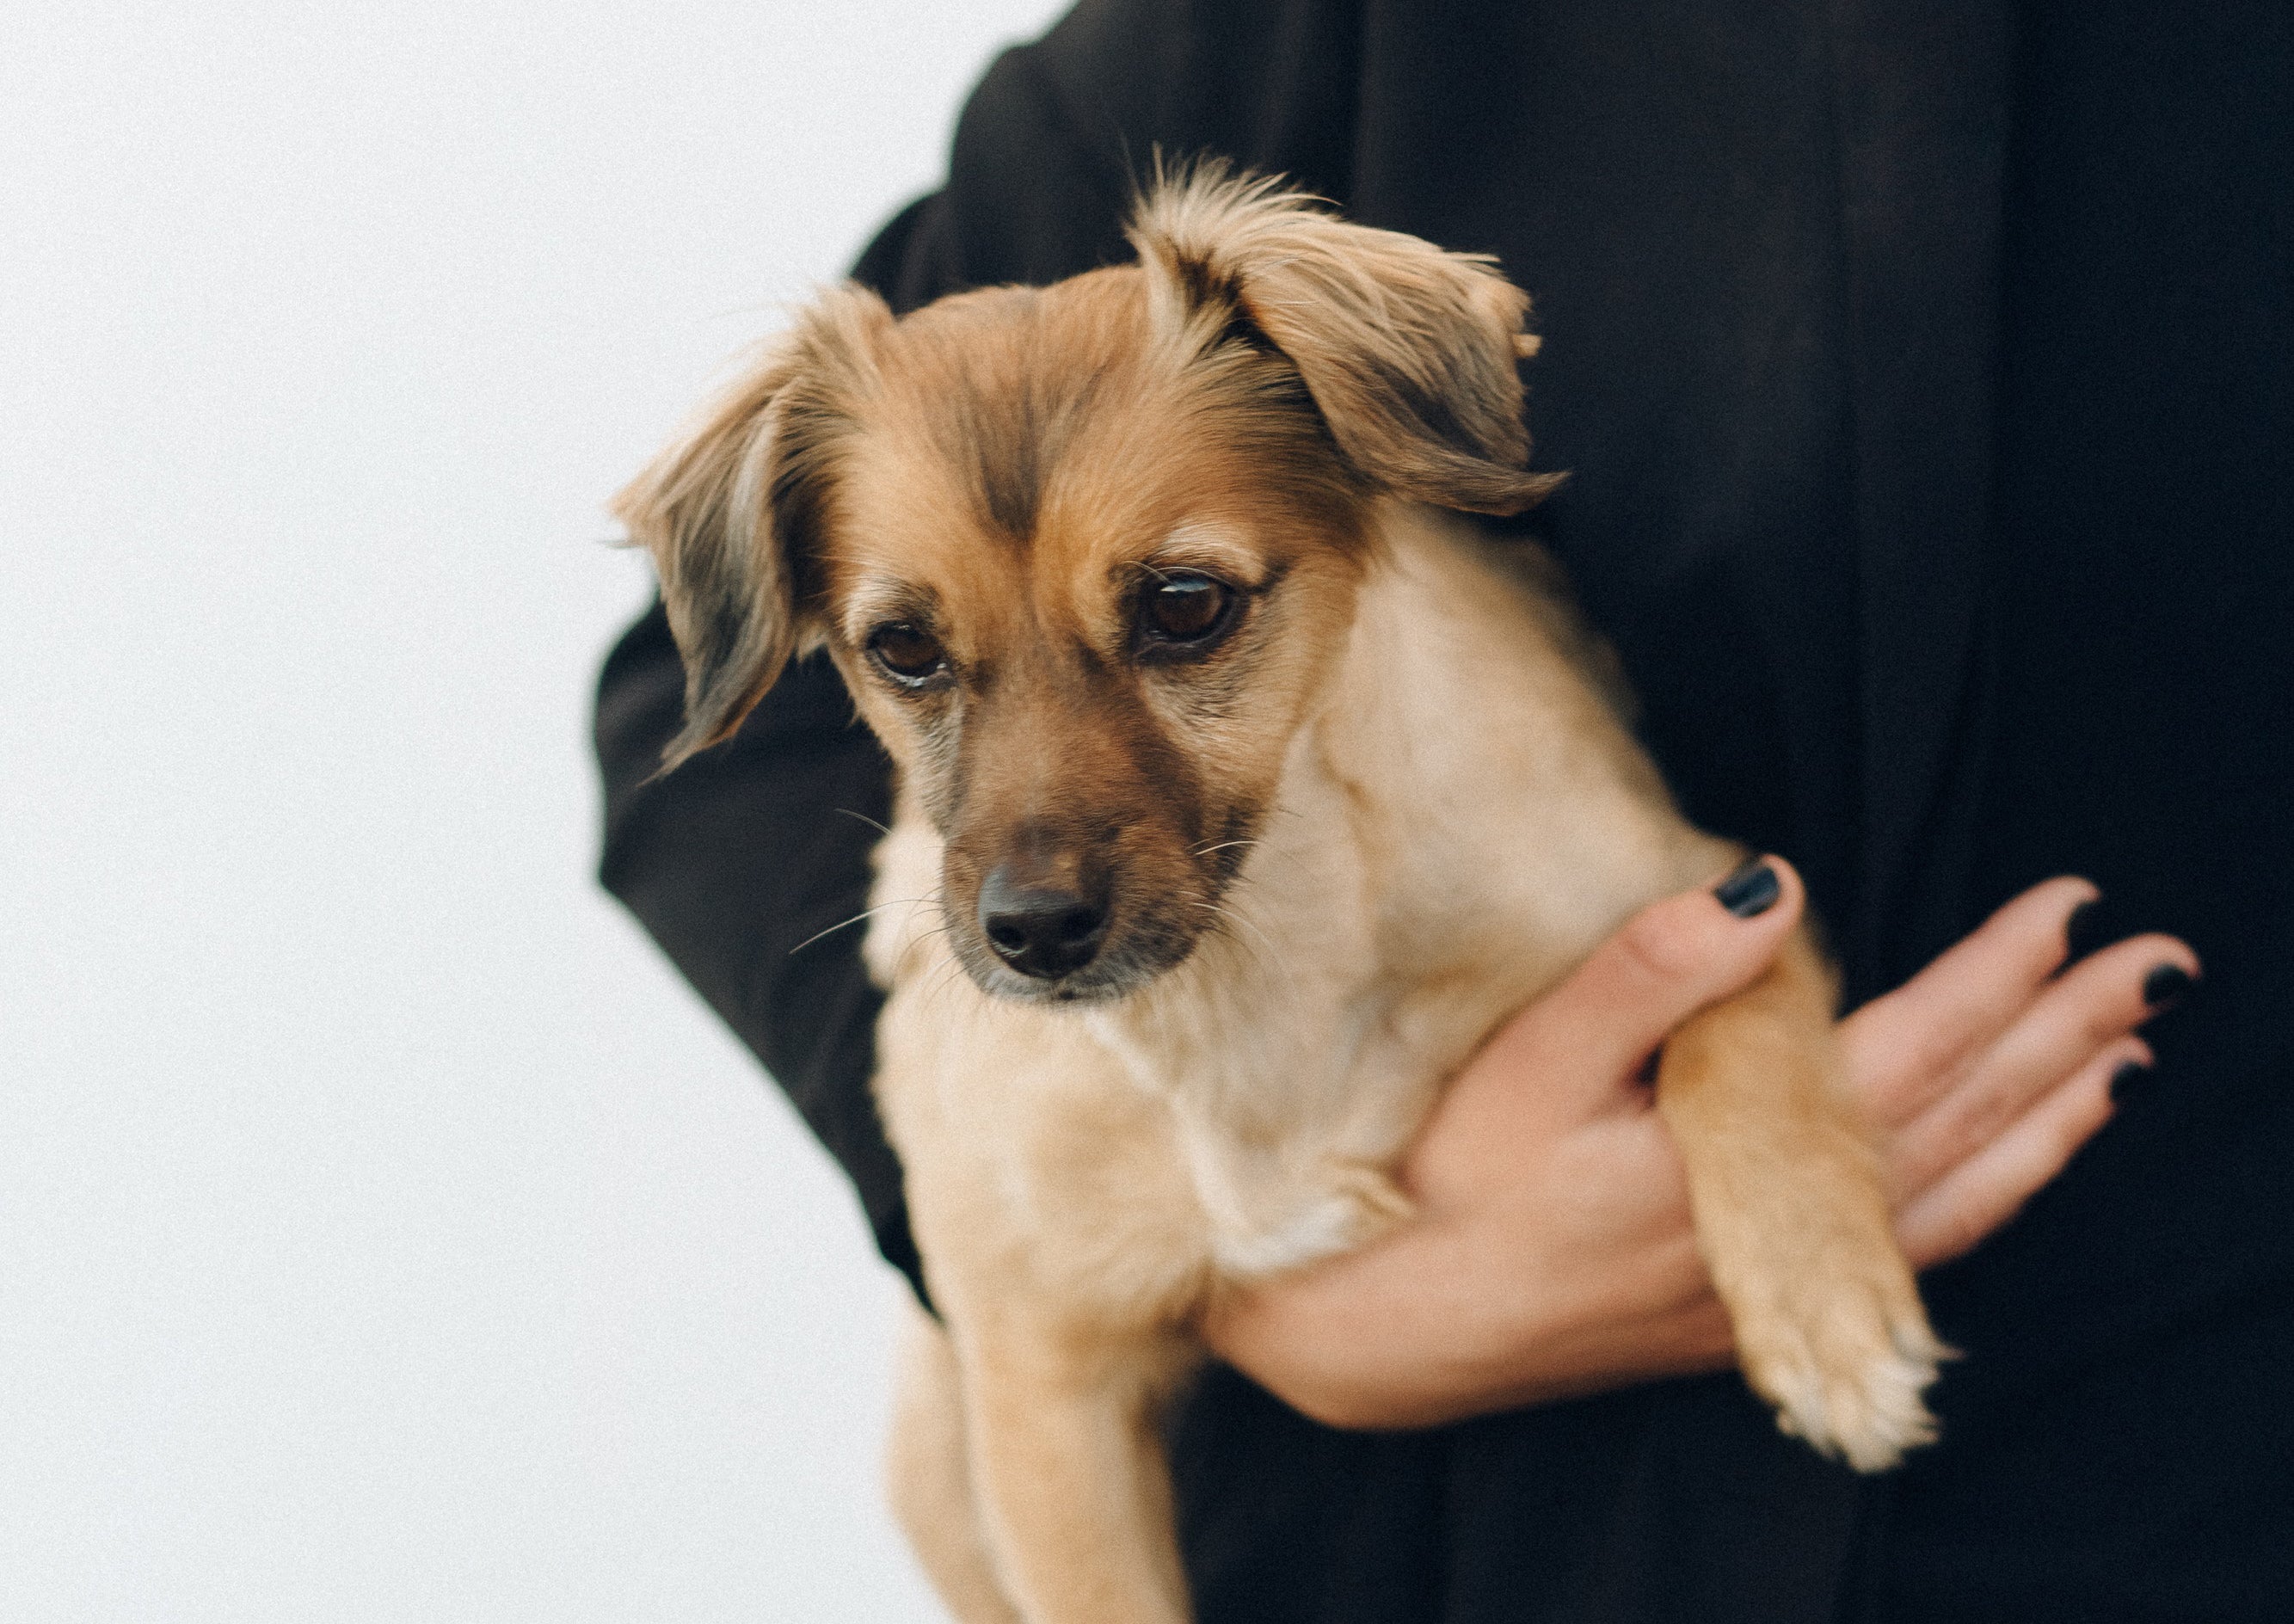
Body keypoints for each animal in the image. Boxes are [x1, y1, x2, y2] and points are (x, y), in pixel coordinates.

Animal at [619, 169, 1945, 1624]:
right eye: (902, 648)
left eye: (1184, 606)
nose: (1030, 934)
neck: (1247, 985)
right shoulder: (1043, 1393)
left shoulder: (1704, 892)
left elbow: (1734, 1042)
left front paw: (1821, 1309)